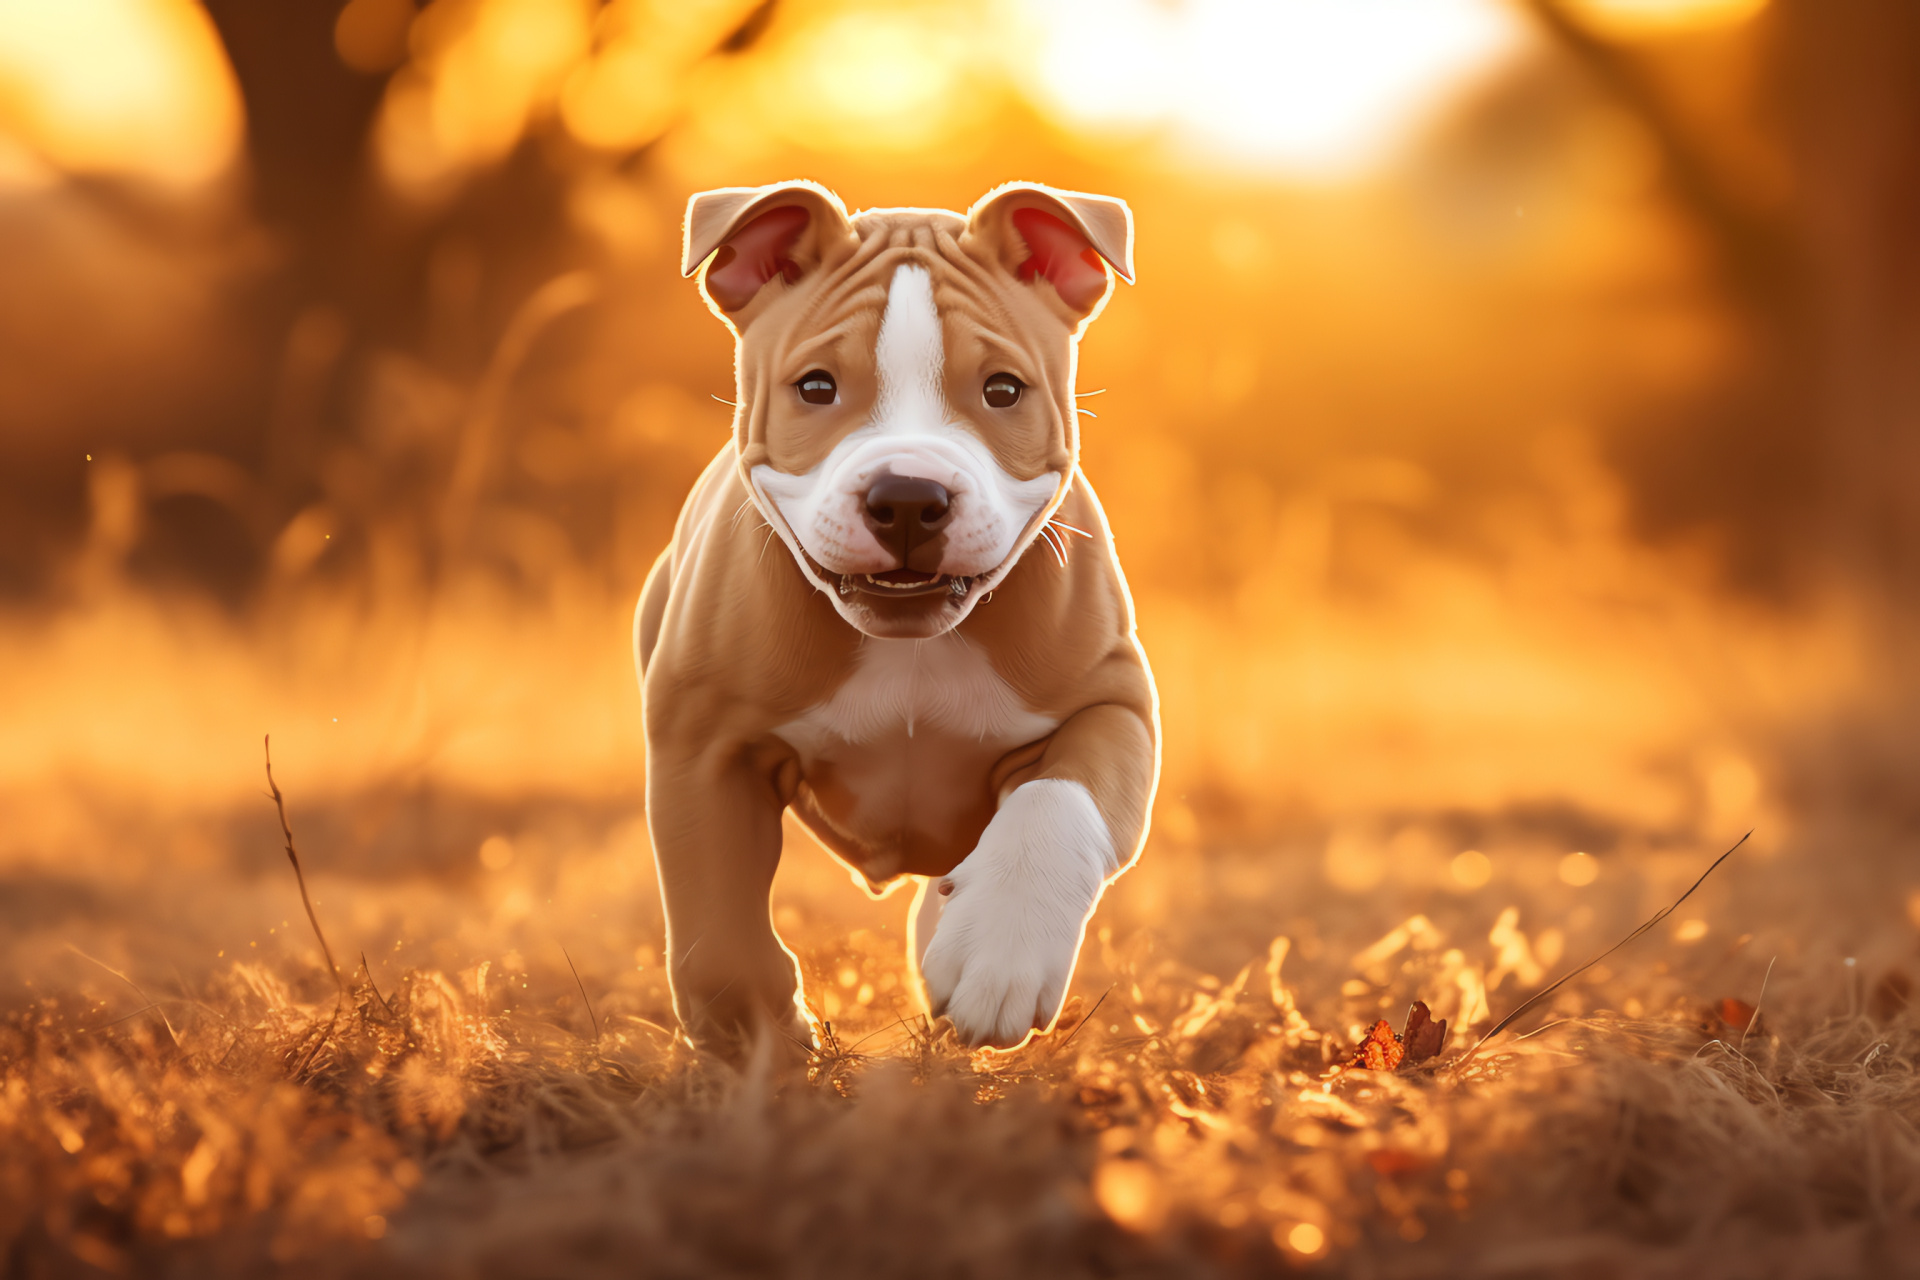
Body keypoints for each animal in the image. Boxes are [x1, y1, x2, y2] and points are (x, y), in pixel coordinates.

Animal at [637, 182, 1159, 1059]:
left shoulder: (1112, 703)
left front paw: (999, 951)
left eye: (1004, 390)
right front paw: (768, 1042)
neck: (912, 645)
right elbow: (717, 933)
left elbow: (1055, 803)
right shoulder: (704, 744)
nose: (910, 496)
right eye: (815, 387)